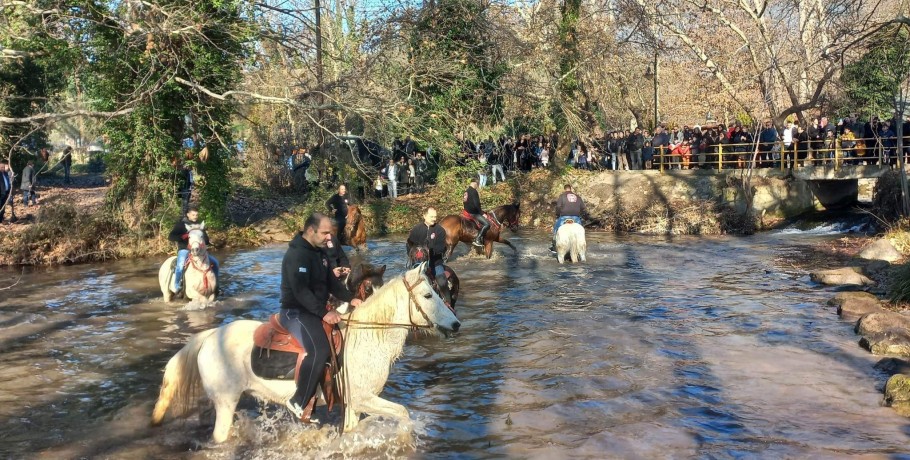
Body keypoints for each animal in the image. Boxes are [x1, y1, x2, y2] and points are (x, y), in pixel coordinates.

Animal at [153, 264, 464, 444]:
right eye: (427, 295)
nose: (455, 324)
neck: (366, 337)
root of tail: (209, 337)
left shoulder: (354, 404)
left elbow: (355, 430)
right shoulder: (363, 397)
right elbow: (403, 413)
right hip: (226, 403)